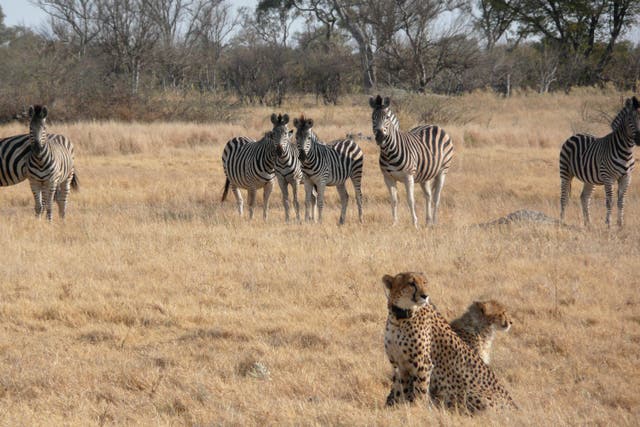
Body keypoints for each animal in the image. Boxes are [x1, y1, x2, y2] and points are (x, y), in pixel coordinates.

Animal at [370, 94, 456, 227]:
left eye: (387, 117)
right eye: (373, 117)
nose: (380, 137)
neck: (389, 152)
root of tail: (434, 125)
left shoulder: (408, 176)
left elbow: (410, 200)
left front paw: (415, 224)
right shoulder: (387, 178)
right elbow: (394, 200)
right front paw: (394, 223)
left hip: (443, 170)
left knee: (436, 198)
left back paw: (434, 222)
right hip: (425, 175)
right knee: (428, 195)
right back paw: (428, 221)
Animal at [384, 270, 516, 414]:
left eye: (425, 282)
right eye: (411, 283)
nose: (425, 296)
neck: (399, 318)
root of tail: (514, 406)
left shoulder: (422, 365)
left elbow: (420, 391)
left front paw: (418, 410)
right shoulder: (400, 365)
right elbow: (400, 391)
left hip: (467, 392)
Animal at [560, 96, 640, 227]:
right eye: (630, 119)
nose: (639, 139)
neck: (626, 151)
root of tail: (574, 135)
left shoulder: (626, 177)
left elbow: (621, 201)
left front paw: (620, 224)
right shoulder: (608, 178)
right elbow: (609, 201)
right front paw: (608, 224)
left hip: (589, 179)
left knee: (584, 197)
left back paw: (588, 223)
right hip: (565, 173)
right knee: (564, 197)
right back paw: (562, 221)